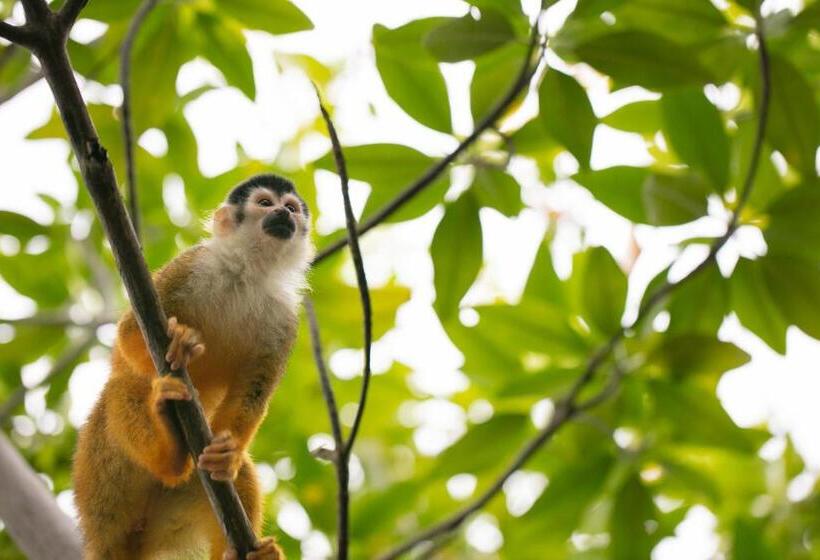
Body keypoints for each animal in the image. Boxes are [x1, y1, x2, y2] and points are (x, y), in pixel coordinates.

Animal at [73, 174, 314, 559]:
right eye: (265, 203)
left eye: (290, 207)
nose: (283, 214)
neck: (247, 271)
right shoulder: (191, 264)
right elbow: (130, 330)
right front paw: (179, 345)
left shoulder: (286, 317)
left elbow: (254, 392)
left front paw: (227, 454)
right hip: (103, 481)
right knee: (124, 387)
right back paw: (167, 450)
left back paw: (240, 551)